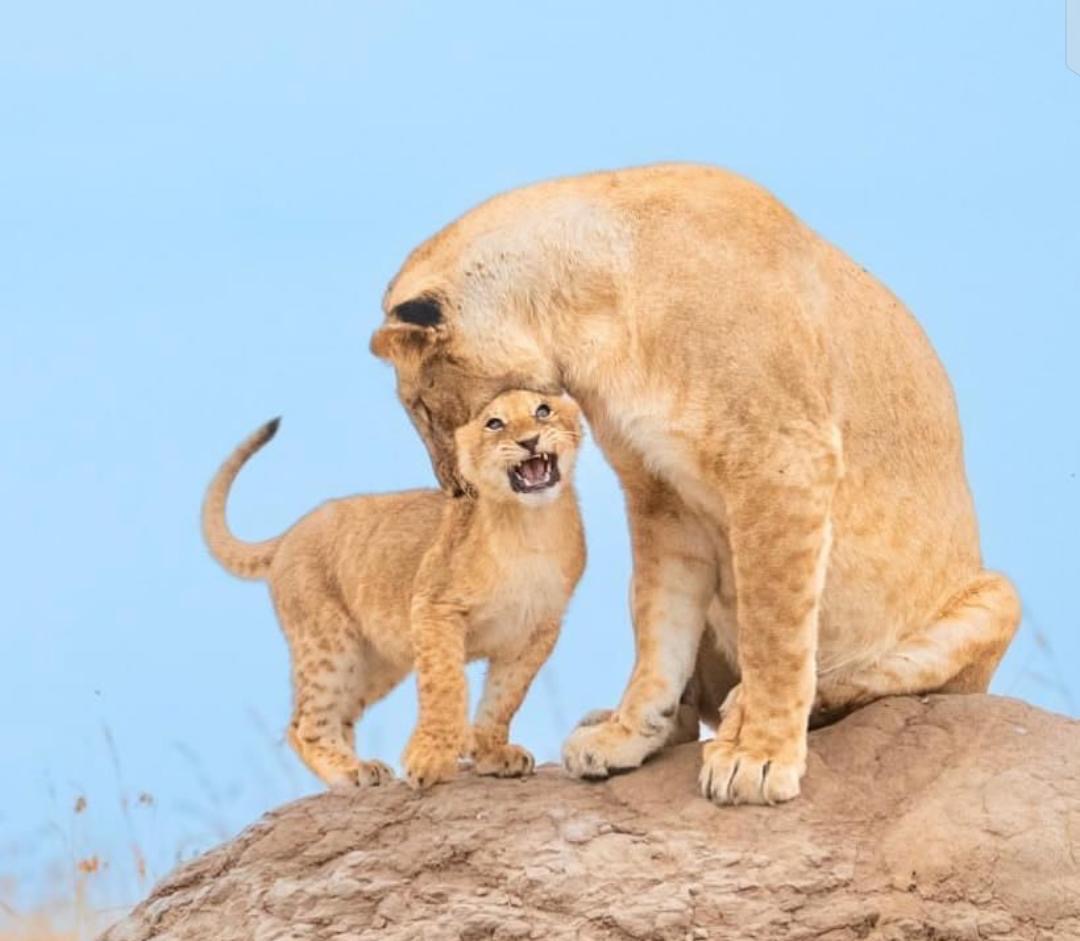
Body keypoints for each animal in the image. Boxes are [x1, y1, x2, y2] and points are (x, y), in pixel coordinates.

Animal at [202, 390, 586, 789]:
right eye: (494, 423)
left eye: (543, 411)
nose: (529, 441)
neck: (530, 527)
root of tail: (292, 531)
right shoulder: (435, 606)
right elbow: (446, 684)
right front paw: (429, 759)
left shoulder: (538, 628)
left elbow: (504, 696)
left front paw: (492, 753)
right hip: (330, 644)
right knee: (306, 725)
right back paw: (352, 770)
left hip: (376, 661)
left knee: (332, 717)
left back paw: (361, 767)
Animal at [370, 162, 1020, 806]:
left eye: (419, 407)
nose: (453, 488)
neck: (589, 314)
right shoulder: (660, 493)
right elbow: (660, 631)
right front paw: (630, 735)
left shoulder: (782, 461)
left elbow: (775, 630)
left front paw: (758, 757)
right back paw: (614, 724)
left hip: (996, 599)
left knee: (868, 675)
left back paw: (745, 705)